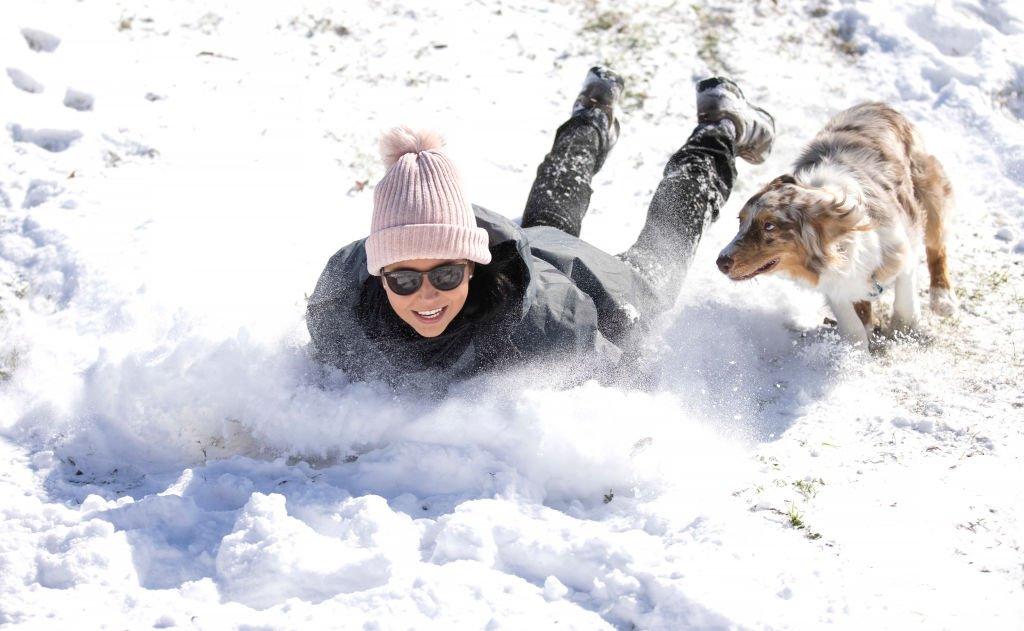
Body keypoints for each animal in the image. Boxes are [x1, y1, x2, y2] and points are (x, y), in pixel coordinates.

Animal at [716, 103, 954, 348]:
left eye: (769, 226)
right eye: (740, 220)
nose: (720, 262)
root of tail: (876, 104)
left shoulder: (902, 247)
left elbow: (905, 302)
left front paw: (902, 329)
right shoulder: (834, 285)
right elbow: (853, 325)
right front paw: (856, 347)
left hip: (929, 189)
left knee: (937, 246)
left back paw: (943, 298)